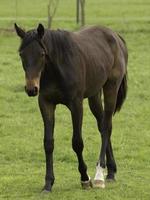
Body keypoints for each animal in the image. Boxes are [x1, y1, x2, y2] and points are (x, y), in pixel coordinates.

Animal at [14, 23, 127, 192]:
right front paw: (48, 183)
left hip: (111, 88)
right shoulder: (46, 104)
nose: (31, 89)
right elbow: (48, 143)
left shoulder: (76, 105)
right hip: (94, 95)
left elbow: (77, 142)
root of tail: (115, 36)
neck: (56, 69)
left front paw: (85, 178)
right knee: (103, 125)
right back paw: (111, 172)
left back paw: (99, 175)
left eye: (42, 54)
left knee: (106, 127)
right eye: (21, 54)